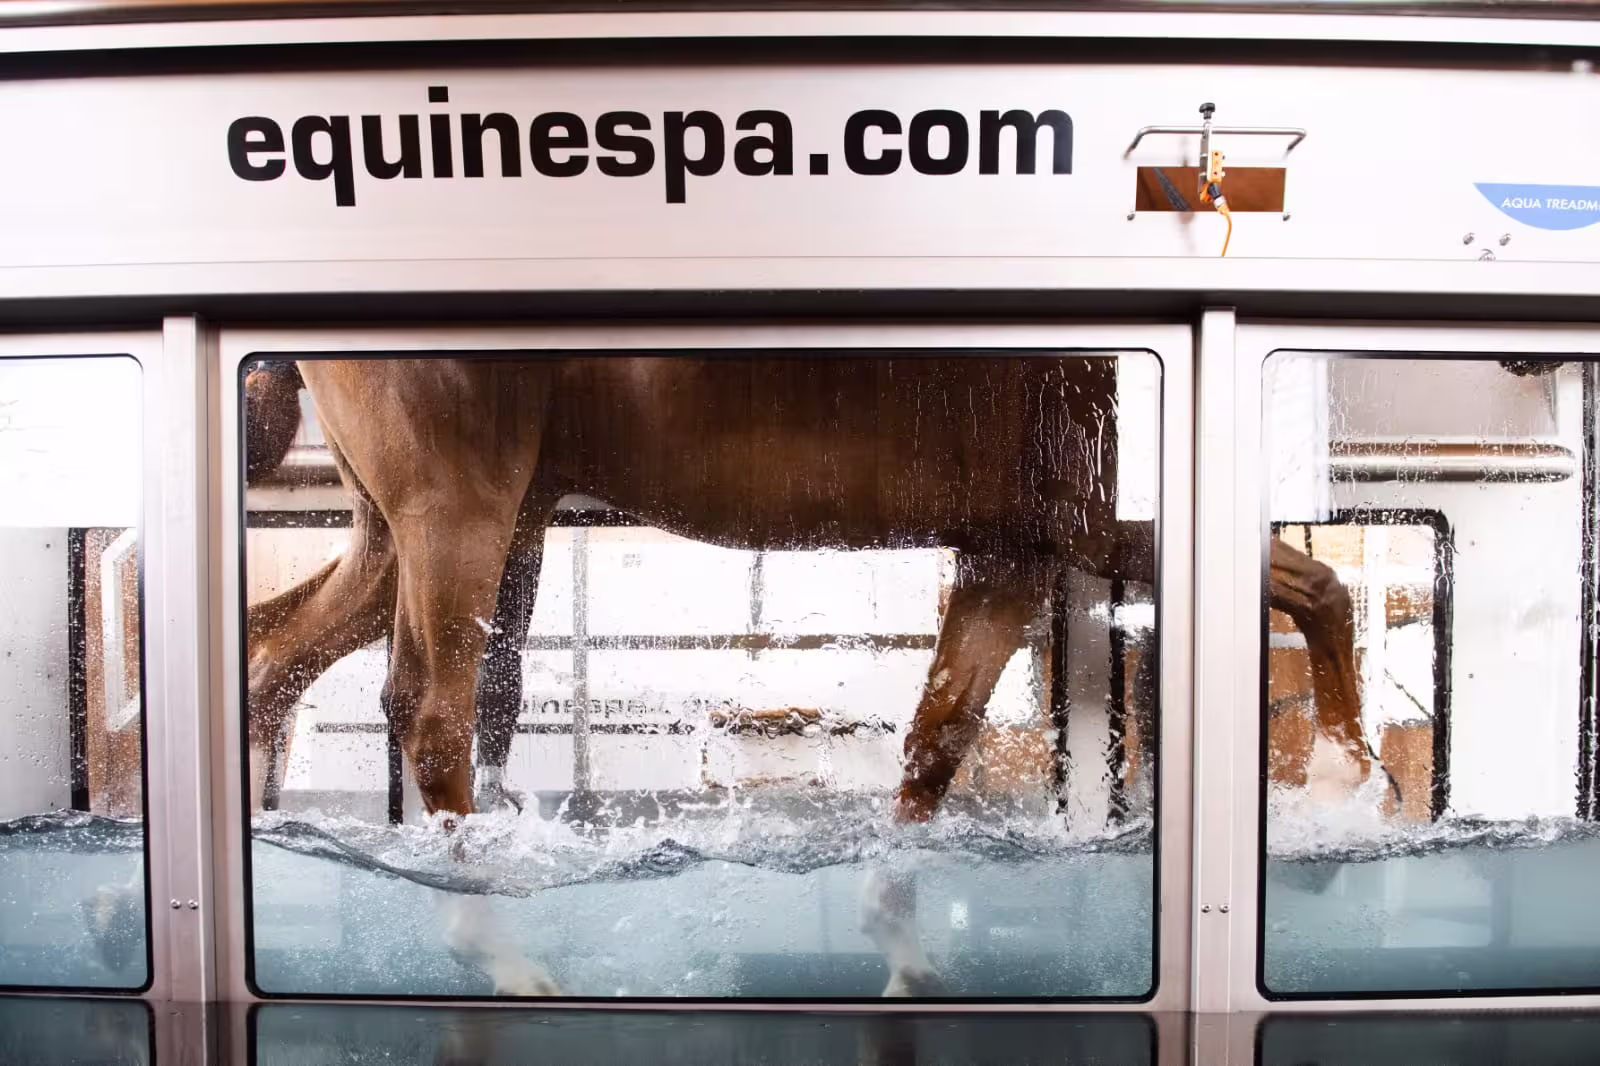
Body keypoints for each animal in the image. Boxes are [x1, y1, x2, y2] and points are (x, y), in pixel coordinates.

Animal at [241, 352, 1371, 996]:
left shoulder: (1011, 549)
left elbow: (939, 733)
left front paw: (898, 938)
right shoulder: (1106, 518)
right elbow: (1321, 589)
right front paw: (1343, 786)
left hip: (402, 524)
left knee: (274, 656)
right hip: (456, 507)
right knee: (430, 712)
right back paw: (500, 954)